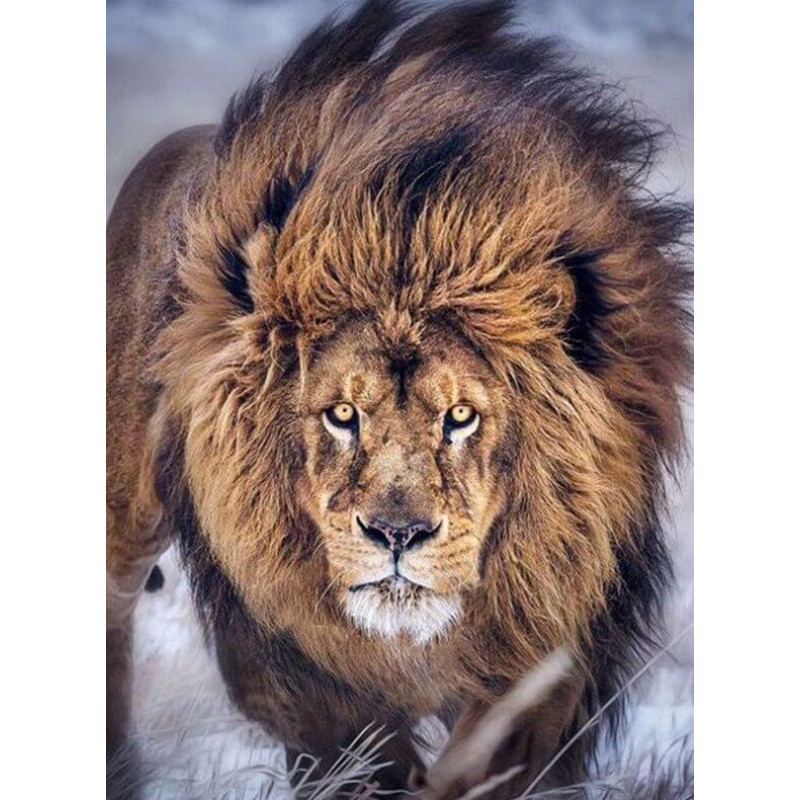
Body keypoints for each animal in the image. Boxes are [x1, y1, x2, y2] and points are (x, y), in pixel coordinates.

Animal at [107, 1, 692, 797]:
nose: (397, 535)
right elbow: (362, 756)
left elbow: (488, 757)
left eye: (460, 417)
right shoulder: (283, 658)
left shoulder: (553, 644)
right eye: (342, 414)